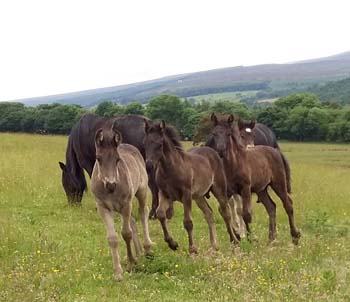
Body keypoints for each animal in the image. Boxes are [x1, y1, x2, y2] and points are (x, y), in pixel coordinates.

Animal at [91, 124, 152, 280]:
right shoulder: (103, 207)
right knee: (133, 220)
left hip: (141, 192)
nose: (111, 185)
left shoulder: (126, 204)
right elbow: (112, 238)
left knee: (143, 212)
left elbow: (126, 233)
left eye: (118, 159)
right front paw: (118, 273)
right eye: (98, 158)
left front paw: (130, 263)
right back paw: (139, 253)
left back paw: (147, 248)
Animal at [143, 120, 238, 255]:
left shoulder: (186, 195)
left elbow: (188, 222)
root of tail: (212, 151)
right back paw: (214, 245)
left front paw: (193, 249)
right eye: (144, 143)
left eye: (160, 144)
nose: (149, 166)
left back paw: (234, 240)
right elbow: (160, 214)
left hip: (219, 189)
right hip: (199, 196)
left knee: (225, 212)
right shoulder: (164, 193)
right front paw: (172, 243)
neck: (170, 169)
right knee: (209, 213)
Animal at [209, 114, 302, 244]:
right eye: (214, 133)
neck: (233, 164)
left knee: (288, 204)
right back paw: (271, 238)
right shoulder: (228, 191)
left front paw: (251, 238)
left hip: (278, 183)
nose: (221, 150)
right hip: (261, 189)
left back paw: (295, 236)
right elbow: (223, 210)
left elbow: (246, 213)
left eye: (228, 133)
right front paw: (235, 237)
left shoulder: (245, 188)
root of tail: (276, 152)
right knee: (271, 207)